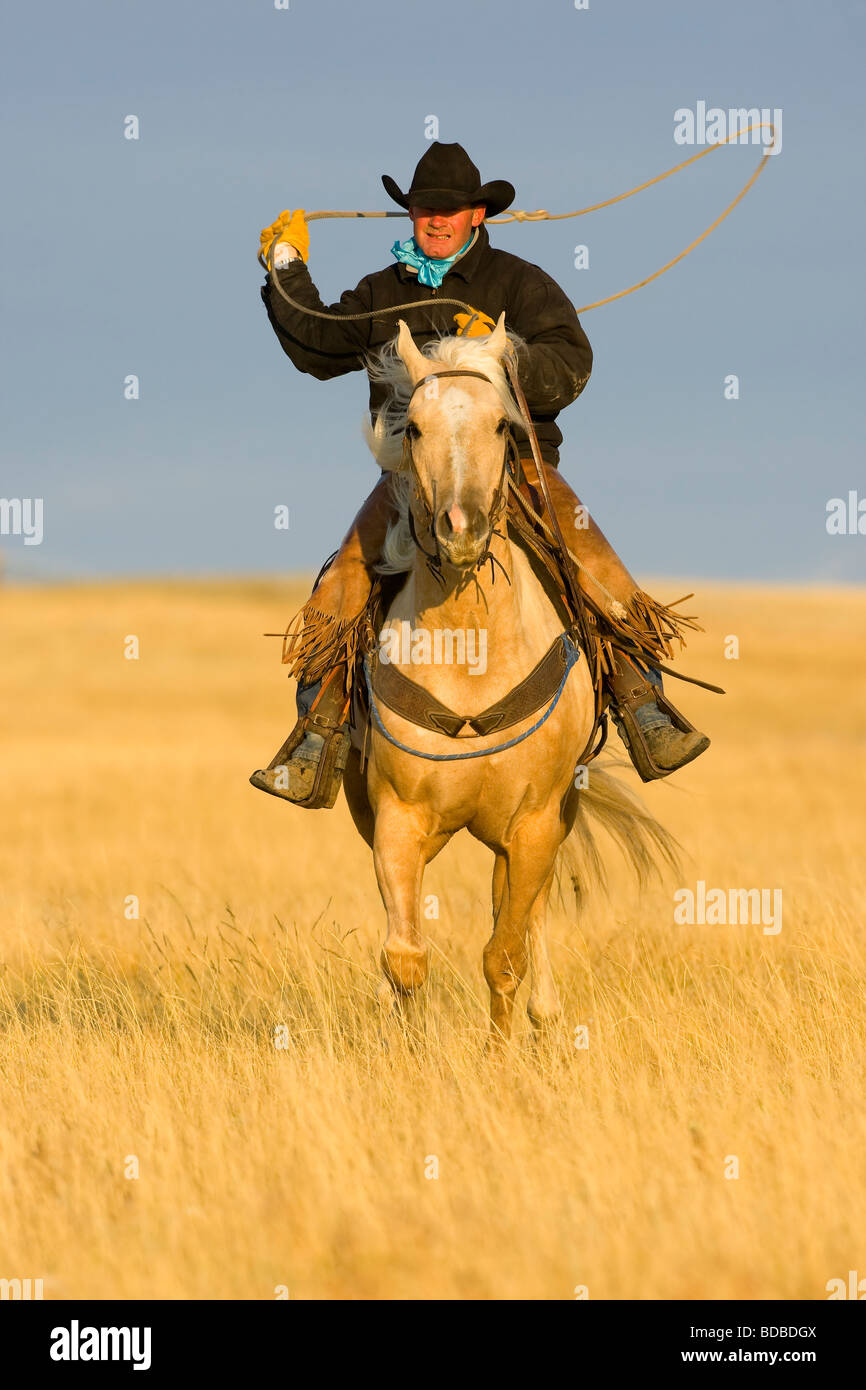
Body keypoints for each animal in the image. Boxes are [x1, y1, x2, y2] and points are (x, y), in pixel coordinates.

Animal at [343, 309, 670, 1039]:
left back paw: (544, 1016)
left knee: (526, 921)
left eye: (501, 424)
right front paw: (403, 1039)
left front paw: (501, 1051)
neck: (472, 653)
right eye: (413, 427)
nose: (460, 528)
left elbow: (504, 957)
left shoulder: (533, 824)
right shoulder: (399, 818)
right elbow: (404, 957)